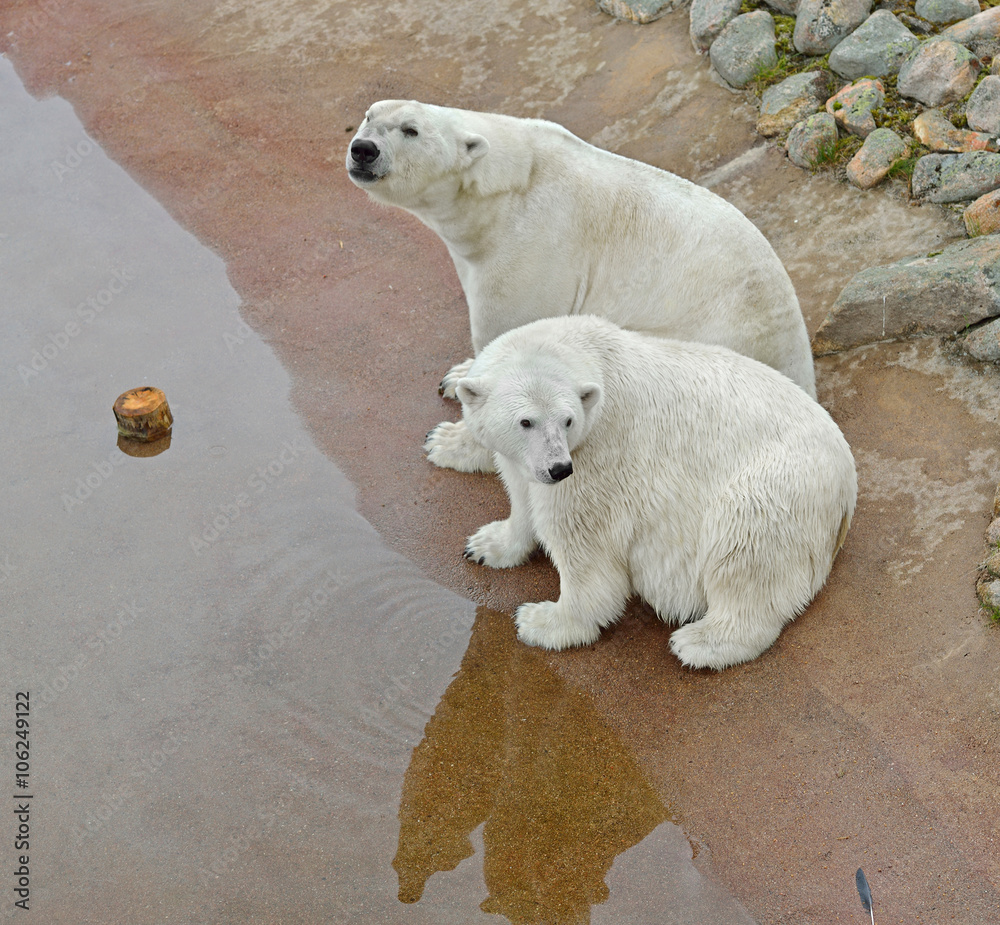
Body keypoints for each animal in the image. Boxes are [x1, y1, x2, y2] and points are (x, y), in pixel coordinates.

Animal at [348, 100, 816, 472]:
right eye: (369, 116)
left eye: (410, 129)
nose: (363, 149)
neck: (501, 189)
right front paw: (458, 374)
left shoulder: (532, 250)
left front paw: (446, 442)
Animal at [458, 314, 856, 668]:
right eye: (525, 421)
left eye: (567, 420)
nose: (559, 468)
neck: (594, 355)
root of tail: (847, 487)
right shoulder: (530, 460)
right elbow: (521, 494)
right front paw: (486, 545)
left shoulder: (599, 453)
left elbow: (584, 542)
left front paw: (542, 621)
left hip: (778, 484)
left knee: (743, 542)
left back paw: (699, 643)